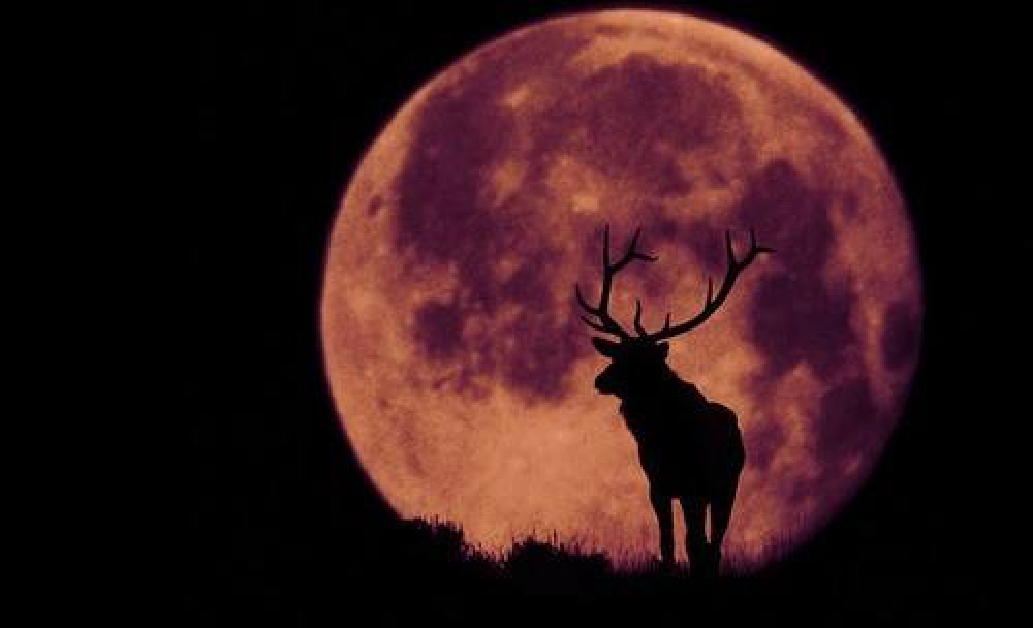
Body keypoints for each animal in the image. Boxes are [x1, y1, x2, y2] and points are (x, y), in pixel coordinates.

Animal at [575, 225, 773, 577]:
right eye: (617, 354)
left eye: (640, 360)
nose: (600, 380)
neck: (663, 438)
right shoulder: (659, 485)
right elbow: (667, 543)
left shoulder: (695, 484)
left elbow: (696, 545)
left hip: (726, 486)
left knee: (713, 544)